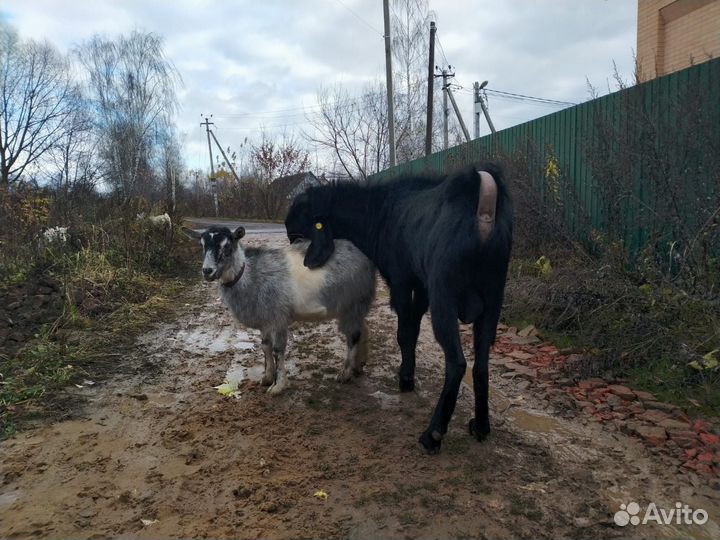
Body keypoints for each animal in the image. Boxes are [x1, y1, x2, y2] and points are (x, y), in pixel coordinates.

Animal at [182, 225, 376, 394]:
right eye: (202, 246)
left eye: (227, 246)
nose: (207, 271)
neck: (248, 275)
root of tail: (362, 254)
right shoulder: (265, 320)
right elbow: (265, 346)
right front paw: (267, 377)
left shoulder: (278, 317)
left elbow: (277, 350)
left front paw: (278, 385)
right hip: (353, 306)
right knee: (363, 329)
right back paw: (358, 366)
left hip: (353, 302)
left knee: (353, 336)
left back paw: (346, 373)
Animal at [285, 163, 512, 453]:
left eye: (298, 234)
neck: (377, 211)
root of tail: (482, 203)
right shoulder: (421, 285)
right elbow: (412, 328)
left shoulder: (402, 282)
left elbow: (404, 332)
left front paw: (406, 379)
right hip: (494, 296)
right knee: (481, 364)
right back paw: (481, 426)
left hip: (444, 296)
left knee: (457, 363)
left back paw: (433, 434)